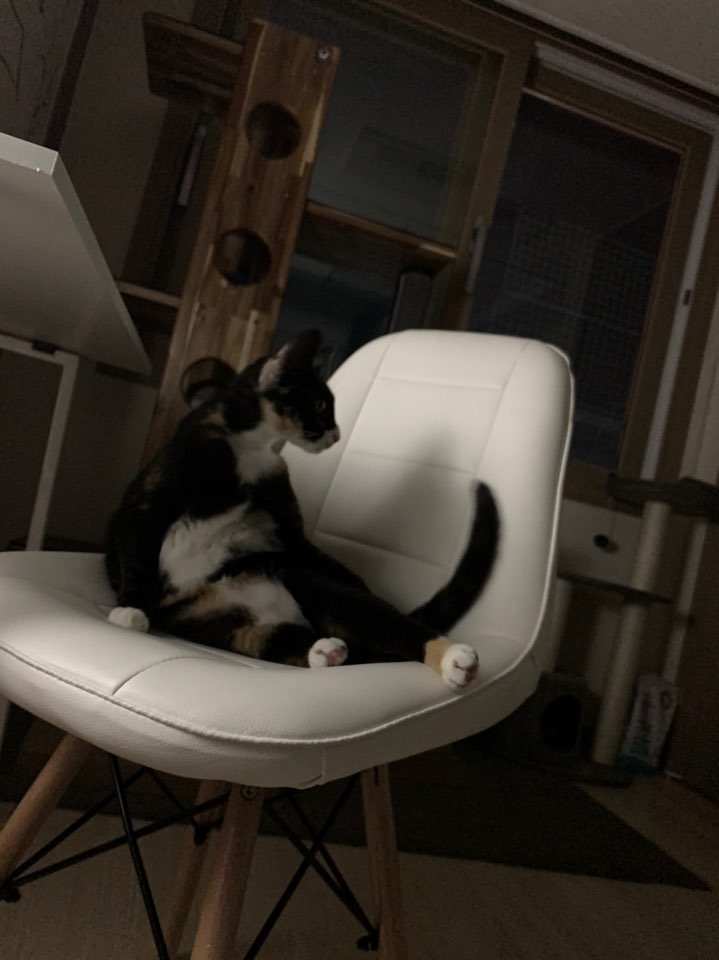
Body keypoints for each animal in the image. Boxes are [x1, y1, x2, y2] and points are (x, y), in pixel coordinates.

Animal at [105, 329, 499, 690]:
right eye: (322, 406)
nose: (336, 434)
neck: (249, 449)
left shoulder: (286, 520)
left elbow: (314, 550)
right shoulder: (150, 498)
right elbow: (138, 552)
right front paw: (130, 610)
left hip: (310, 583)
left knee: (387, 623)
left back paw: (453, 659)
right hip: (223, 627)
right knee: (281, 640)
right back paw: (326, 651)